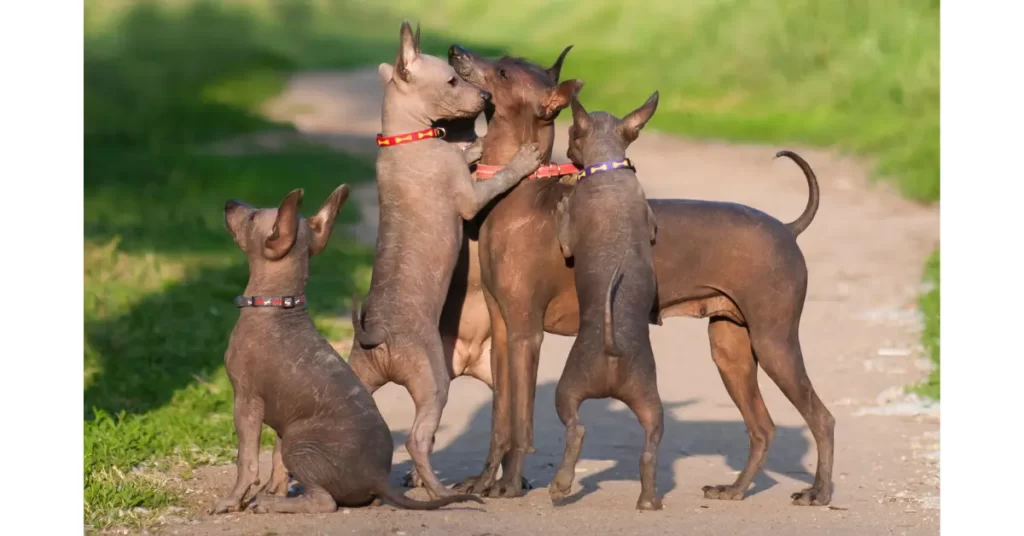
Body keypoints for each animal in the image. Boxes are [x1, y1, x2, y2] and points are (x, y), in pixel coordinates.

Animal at [211, 185, 483, 516]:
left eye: (251, 217)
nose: (229, 202)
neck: (276, 305)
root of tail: (377, 477)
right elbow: (274, 461)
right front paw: (274, 488)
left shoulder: (246, 400)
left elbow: (246, 461)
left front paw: (232, 500)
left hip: (298, 443)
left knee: (324, 501)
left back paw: (270, 504)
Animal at [342, 19, 544, 500]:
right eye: (453, 81)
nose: (486, 96)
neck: (405, 139)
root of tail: (376, 337)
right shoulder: (469, 199)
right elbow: (493, 177)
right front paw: (514, 157)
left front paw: (475, 146)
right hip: (432, 380)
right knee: (417, 439)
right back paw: (440, 492)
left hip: (357, 379)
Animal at [448, 43, 831, 508]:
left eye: (503, 72)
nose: (455, 51)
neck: (522, 192)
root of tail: (788, 228)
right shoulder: (503, 333)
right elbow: (499, 421)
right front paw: (483, 482)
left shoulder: (525, 334)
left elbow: (521, 422)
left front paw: (508, 485)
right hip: (731, 348)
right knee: (763, 428)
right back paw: (734, 489)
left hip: (774, 342)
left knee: (822, 418)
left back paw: (819, 491)